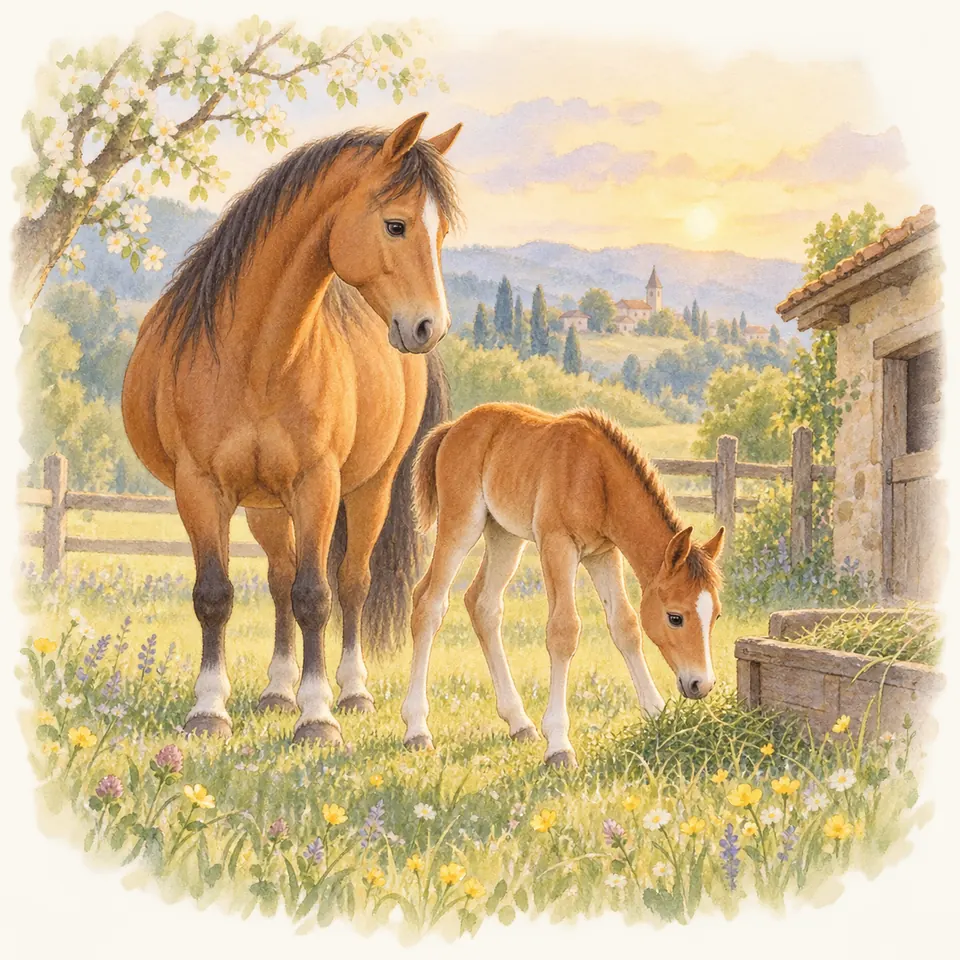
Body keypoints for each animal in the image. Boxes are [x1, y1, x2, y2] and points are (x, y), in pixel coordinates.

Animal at [121, 113, 463, 745]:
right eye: (397, 224)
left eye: (442, 231)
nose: (429, 325)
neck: (257, 357)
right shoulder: (200, 488)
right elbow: (216, 595)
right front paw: (209, 709)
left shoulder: (317, 486)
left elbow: (316, 597)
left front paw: (319, 716)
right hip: (265, 506)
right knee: (279, 578)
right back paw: (278, 691)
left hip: (369, 488)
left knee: (351, 582)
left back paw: (352, 692)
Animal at [402, 403, 725, 766]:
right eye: (675, 617)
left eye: (716, 616)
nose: (701, 684)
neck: (597, 476)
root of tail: (453, 427)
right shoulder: (558, 546)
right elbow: (563, 632)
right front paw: (558, 745)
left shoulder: (603, 554)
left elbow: (626, 626)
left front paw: (656, 715)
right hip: (462, 524)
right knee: (429, 602)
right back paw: (417, 729)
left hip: (504, 535)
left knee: (482, 605)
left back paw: (519, 723)